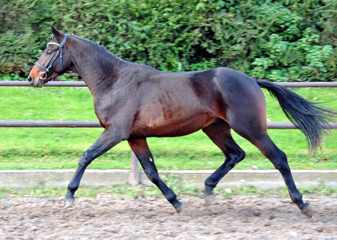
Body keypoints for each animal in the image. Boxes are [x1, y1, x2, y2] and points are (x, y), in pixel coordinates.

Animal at [28, 25, 334, 218]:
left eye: (49, 49)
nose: (32, 77)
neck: (115, 81)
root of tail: (251, 80)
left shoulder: (116, 132)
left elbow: (86, 156)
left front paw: (69, 197)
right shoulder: (135, 137)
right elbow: (151, 172)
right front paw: (176, 203)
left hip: (251, 128)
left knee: (278, 158)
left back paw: (303, 204)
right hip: (216, 128)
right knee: (235, 154)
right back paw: (208, 191)